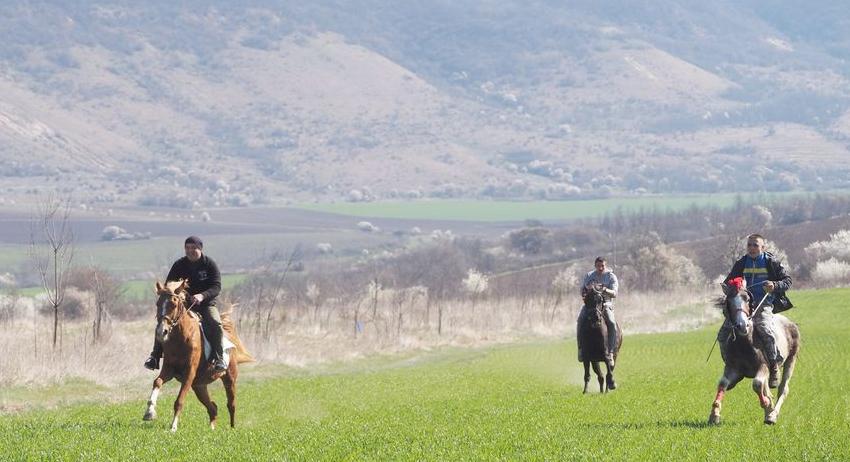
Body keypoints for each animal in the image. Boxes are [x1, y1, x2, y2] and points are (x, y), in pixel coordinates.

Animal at [142, 280, 253, 432]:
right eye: (158, 304)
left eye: (173, 304)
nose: (161, 332)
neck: (180, 338)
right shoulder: (169, 370)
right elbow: (157, 382)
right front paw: (149, 413)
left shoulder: (189, 374)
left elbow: (179, 401)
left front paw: (173, 428)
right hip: (199, 386)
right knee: (213, 408)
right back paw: (211, 429)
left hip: (229, 378)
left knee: (231, 404)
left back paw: (232, 428)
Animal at [704, 278, 800, 426]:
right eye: (729, 301)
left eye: (747, 299)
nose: (742, 325)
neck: (745, 344)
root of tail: (791, 323)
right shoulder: (733, 369)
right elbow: (722, 384)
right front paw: (714, 415)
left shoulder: (763, 366)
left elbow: (757, 384)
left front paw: (766, 404)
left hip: (791, 360)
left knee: (783, 389)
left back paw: (772, 415)